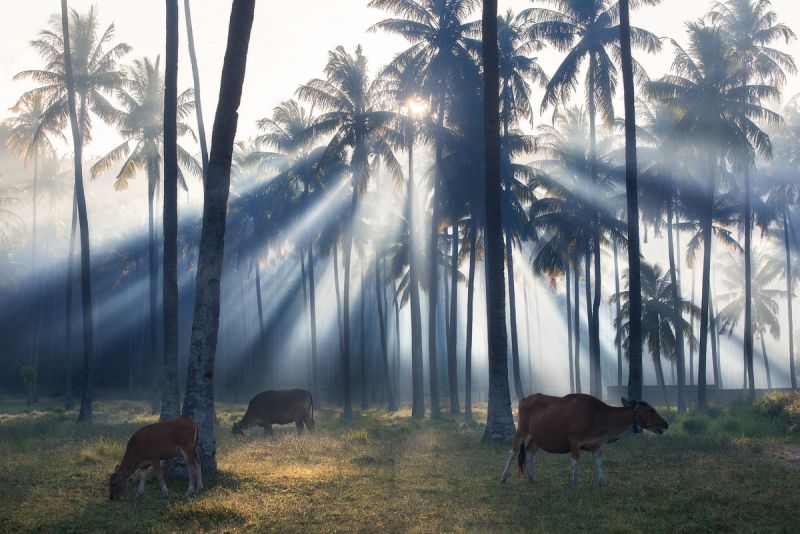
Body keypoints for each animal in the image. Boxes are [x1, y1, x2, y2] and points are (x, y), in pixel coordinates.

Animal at [500, 396, 668, 488]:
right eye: (651, 410)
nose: (665, 424)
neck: (597, 415)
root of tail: (524, 399)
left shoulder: (597, 445)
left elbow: (599, 463)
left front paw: (603, 482)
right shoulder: (574, 439)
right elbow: (575, 461)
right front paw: (574, 482)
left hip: (536, 438)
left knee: (529, 453)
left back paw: (531, 478)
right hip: (521, 431)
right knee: (511, 453)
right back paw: (503, 478)